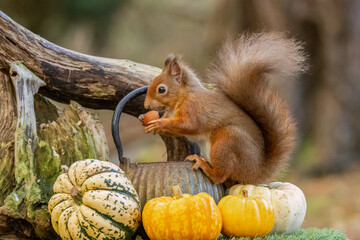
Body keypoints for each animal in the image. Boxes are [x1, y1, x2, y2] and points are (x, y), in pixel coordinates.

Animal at [142, 32, 306, 184]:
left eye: (162, 89)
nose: (146, 105)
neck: (181, 98)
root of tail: (255, 172)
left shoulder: (194, 108)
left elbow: (189, 125)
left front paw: (160, 124)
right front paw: (148, 122)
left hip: (226, 142)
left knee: (220, 176)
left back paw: (203, 165)